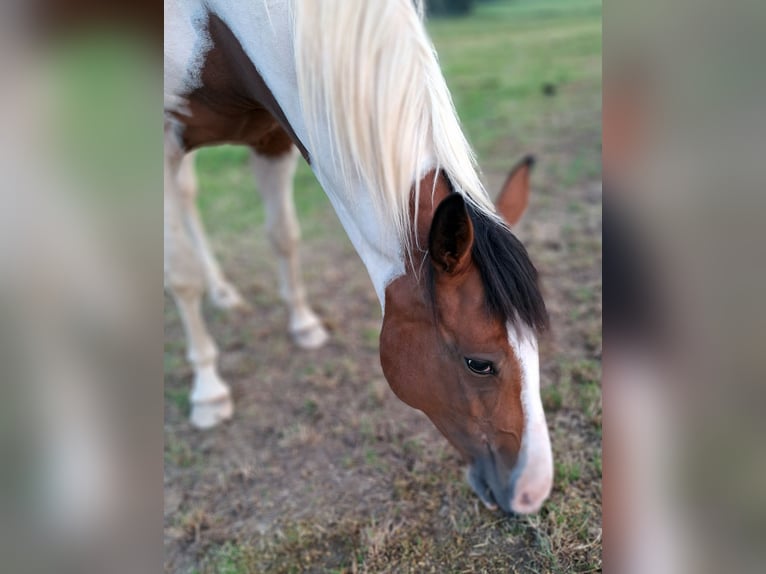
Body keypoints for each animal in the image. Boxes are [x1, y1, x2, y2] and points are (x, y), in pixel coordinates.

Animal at [165, 0, 556, 516]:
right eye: (478, 363)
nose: (533, 492)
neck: (217, 22)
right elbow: (181, 276)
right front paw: (208, 392)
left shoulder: (273, 137)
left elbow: (283, 236)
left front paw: (303, 325)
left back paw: (224, 292)